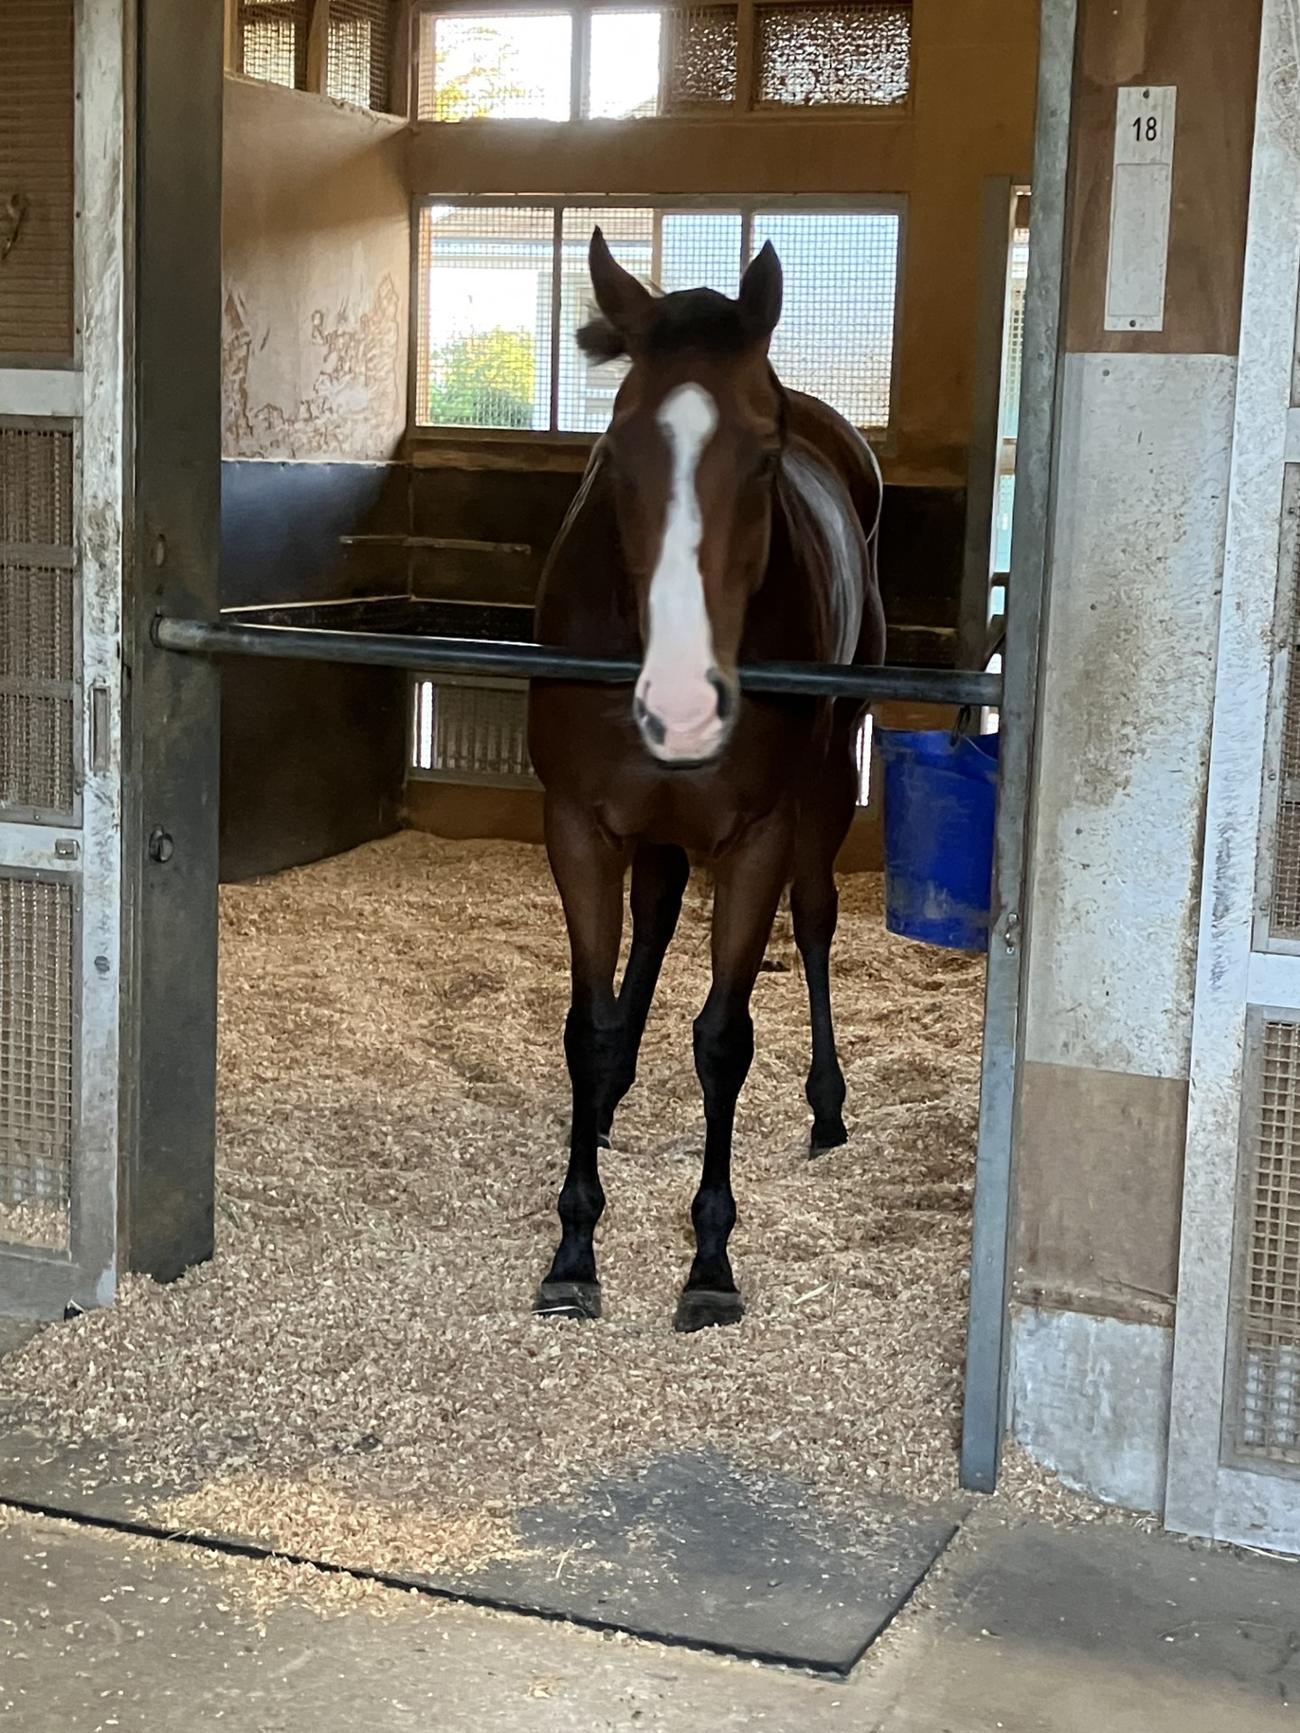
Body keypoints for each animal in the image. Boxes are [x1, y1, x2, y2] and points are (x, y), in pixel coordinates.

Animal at [526, 227, 886, 1333]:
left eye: (762, 455)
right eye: (616, 448)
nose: (682, 703)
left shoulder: (757, 835)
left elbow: (725, 1038)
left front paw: (710, 1260)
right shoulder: (580, 827)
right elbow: (586, 1025)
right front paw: (573, 1244)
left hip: (828, 782)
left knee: (813, 922)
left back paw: (826, 1101)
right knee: (652, 917)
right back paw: (611, 1097)